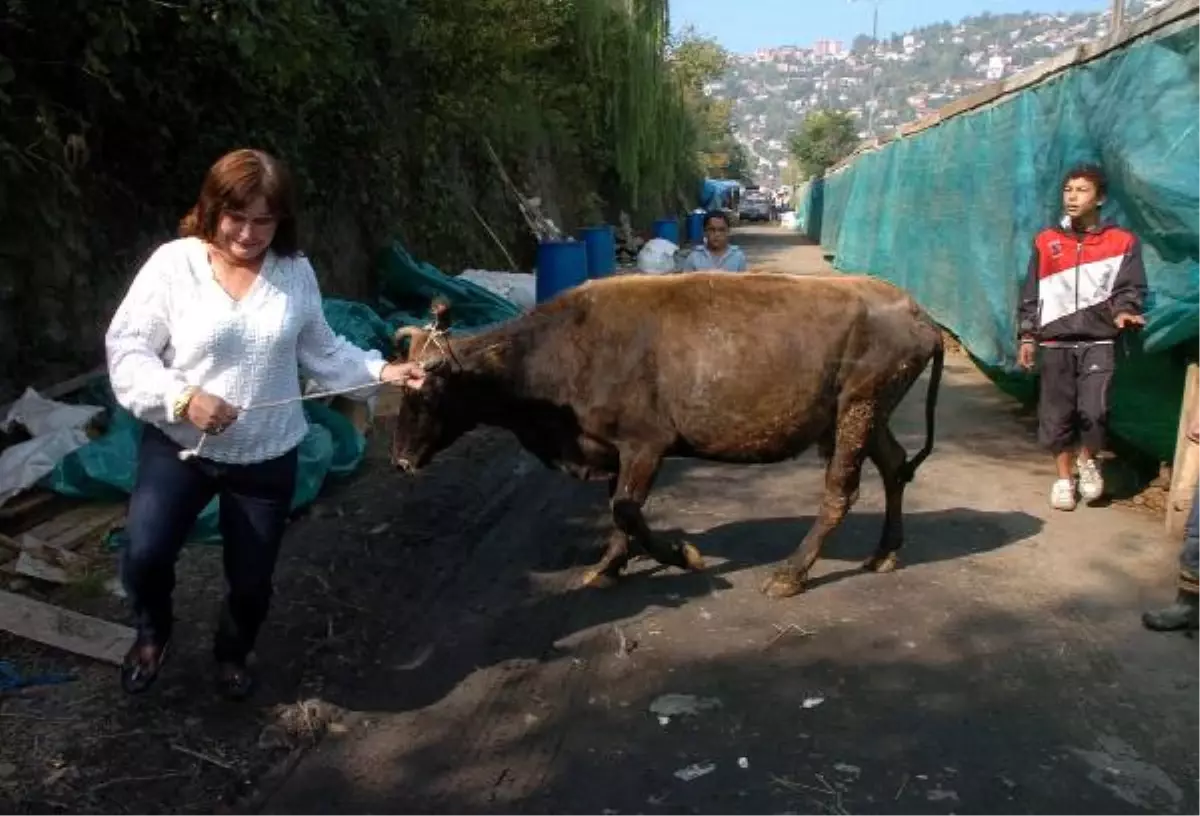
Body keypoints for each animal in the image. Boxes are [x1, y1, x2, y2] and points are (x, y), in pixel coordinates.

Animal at [388, 271, 940, 595]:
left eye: (428, 395)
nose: (400, 459)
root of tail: (917, 312)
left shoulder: (644, 446)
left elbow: (626, 511)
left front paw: (682, 556)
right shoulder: (614, 450)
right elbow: (618, 513)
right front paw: (608, 567)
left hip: (858, 410)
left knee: (839, 493)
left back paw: (791, 573)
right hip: (869, 415)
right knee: (895, 466)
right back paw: (885, 552)